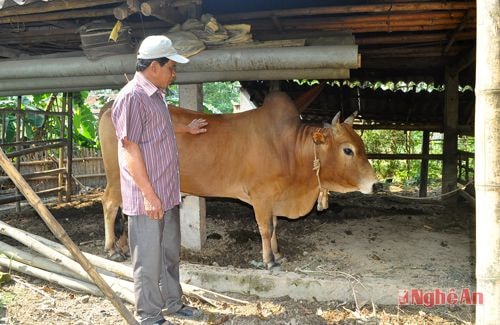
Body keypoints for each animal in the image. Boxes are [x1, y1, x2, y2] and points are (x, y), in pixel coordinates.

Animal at [99, 90, 376, 268]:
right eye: (348, 150)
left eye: (361, 145)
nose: (375, 183)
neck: (290, 148)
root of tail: (112, 104)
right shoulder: (261, 197)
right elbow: (265, 228)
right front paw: (268, 260)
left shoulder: (273, 198)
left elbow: (275, 226)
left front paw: (278, 254)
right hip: (117, 179)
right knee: (109, 204)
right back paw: (112, 249)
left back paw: (124, 247)